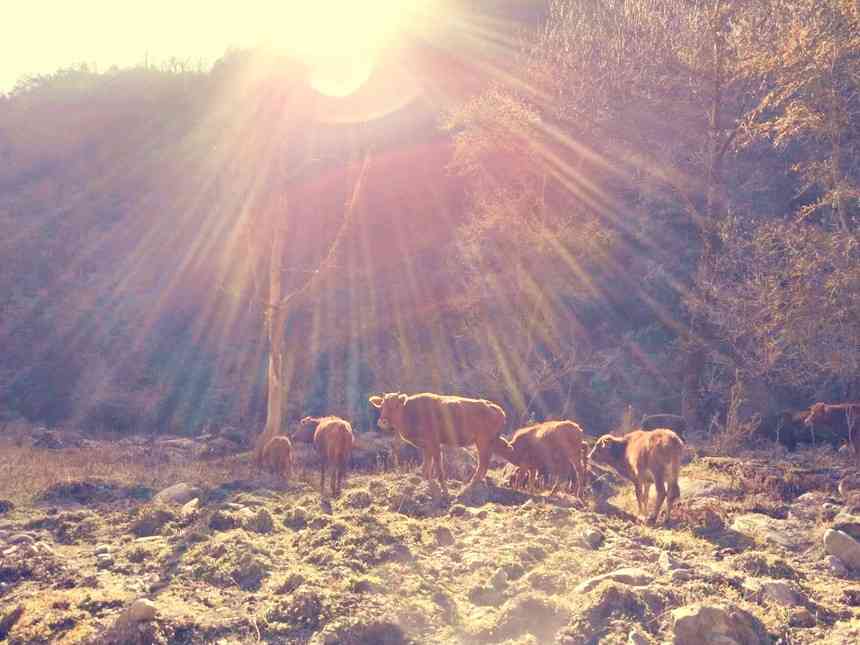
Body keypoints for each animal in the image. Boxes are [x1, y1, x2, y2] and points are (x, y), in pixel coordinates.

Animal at [368, 392, 508, 494]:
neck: (411, 412)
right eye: (381, 406)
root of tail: (498, 409)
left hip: (483, 442)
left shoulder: (434, 444)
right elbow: (426, 467)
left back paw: (470, 486)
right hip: (490, 442)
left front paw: (444, 490)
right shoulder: (426, 447)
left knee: (483, 463)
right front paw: (426, 485)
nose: (383, 422)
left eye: (396, 405)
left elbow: (438, 467)